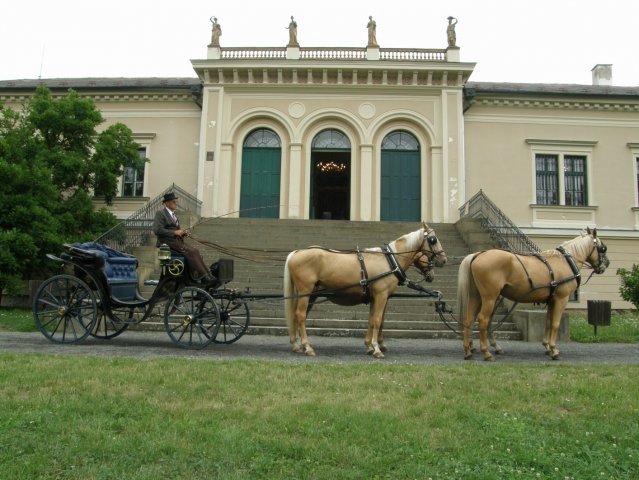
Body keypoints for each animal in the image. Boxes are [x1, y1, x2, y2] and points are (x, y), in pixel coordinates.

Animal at [282, 223, 448, 358]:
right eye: (433, 239)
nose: (444, 260)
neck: (389, 261)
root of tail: (297, 252)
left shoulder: (377, 297)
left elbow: (372, 320)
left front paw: (369, 345)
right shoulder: (381, 295)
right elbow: (377, 320)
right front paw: (376, 348)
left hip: (309, 295)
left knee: (298, 316)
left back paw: (297, 344)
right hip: (306, 292)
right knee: (300, 316)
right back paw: (307, 346)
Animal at [458, 228, 608, 360]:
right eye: (603, 248)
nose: (606, 264)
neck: (565, 261)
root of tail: (478, 254)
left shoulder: (552, 300)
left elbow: (548, 322)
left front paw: (547, 346)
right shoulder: (562, 299)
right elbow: (556, 324)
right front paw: (554, 350)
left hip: (476, 296)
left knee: (469, 319)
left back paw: (468, 350)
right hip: (489, 297)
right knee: (483, 319)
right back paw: (486, 352)